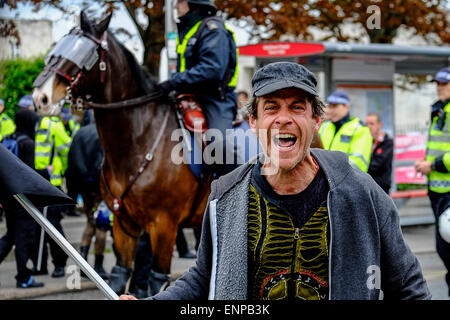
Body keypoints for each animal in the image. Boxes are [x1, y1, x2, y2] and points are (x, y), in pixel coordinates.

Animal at [31, 12, 211, 294]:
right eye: (57, 49)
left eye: (85, 53)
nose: (40, 97)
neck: (139, 143)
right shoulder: (124, 224)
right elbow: (120, 273)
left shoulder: (164, 226)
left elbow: (157, 279)